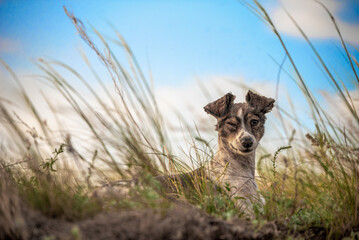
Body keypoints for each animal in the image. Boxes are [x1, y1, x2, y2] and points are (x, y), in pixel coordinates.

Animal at [93, 91, 276, 212]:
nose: (247, 142)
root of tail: (94, 193)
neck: (239, 170)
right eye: (231, 124)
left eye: (254, 122)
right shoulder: (245, 210)